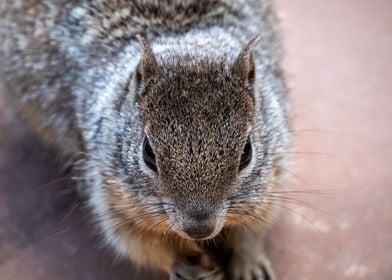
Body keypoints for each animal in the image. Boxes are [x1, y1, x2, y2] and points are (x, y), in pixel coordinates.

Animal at [0, 0, 288, 280]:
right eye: (148, 153)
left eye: (247, 153)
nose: (199, 229)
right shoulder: (111, 198)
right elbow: (145, 245)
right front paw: (187, 266)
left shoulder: (272, 178)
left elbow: (254, 228)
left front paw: (250, 263)